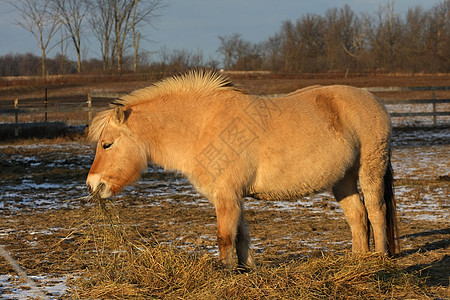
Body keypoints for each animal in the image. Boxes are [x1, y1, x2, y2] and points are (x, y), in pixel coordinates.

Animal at [87, 69, 398, 268]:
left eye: (106, 144)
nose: (93, 185)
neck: (202, 127)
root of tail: (375, 101)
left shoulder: (226, 195)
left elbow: (225, 237)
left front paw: (226, 273)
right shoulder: (232, 196)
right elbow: (241, 235)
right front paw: (247, 269)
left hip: (370, 169)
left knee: (375, 211)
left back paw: (380, 258)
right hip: (342, 179)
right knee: (357, 216)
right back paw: (358, 261)